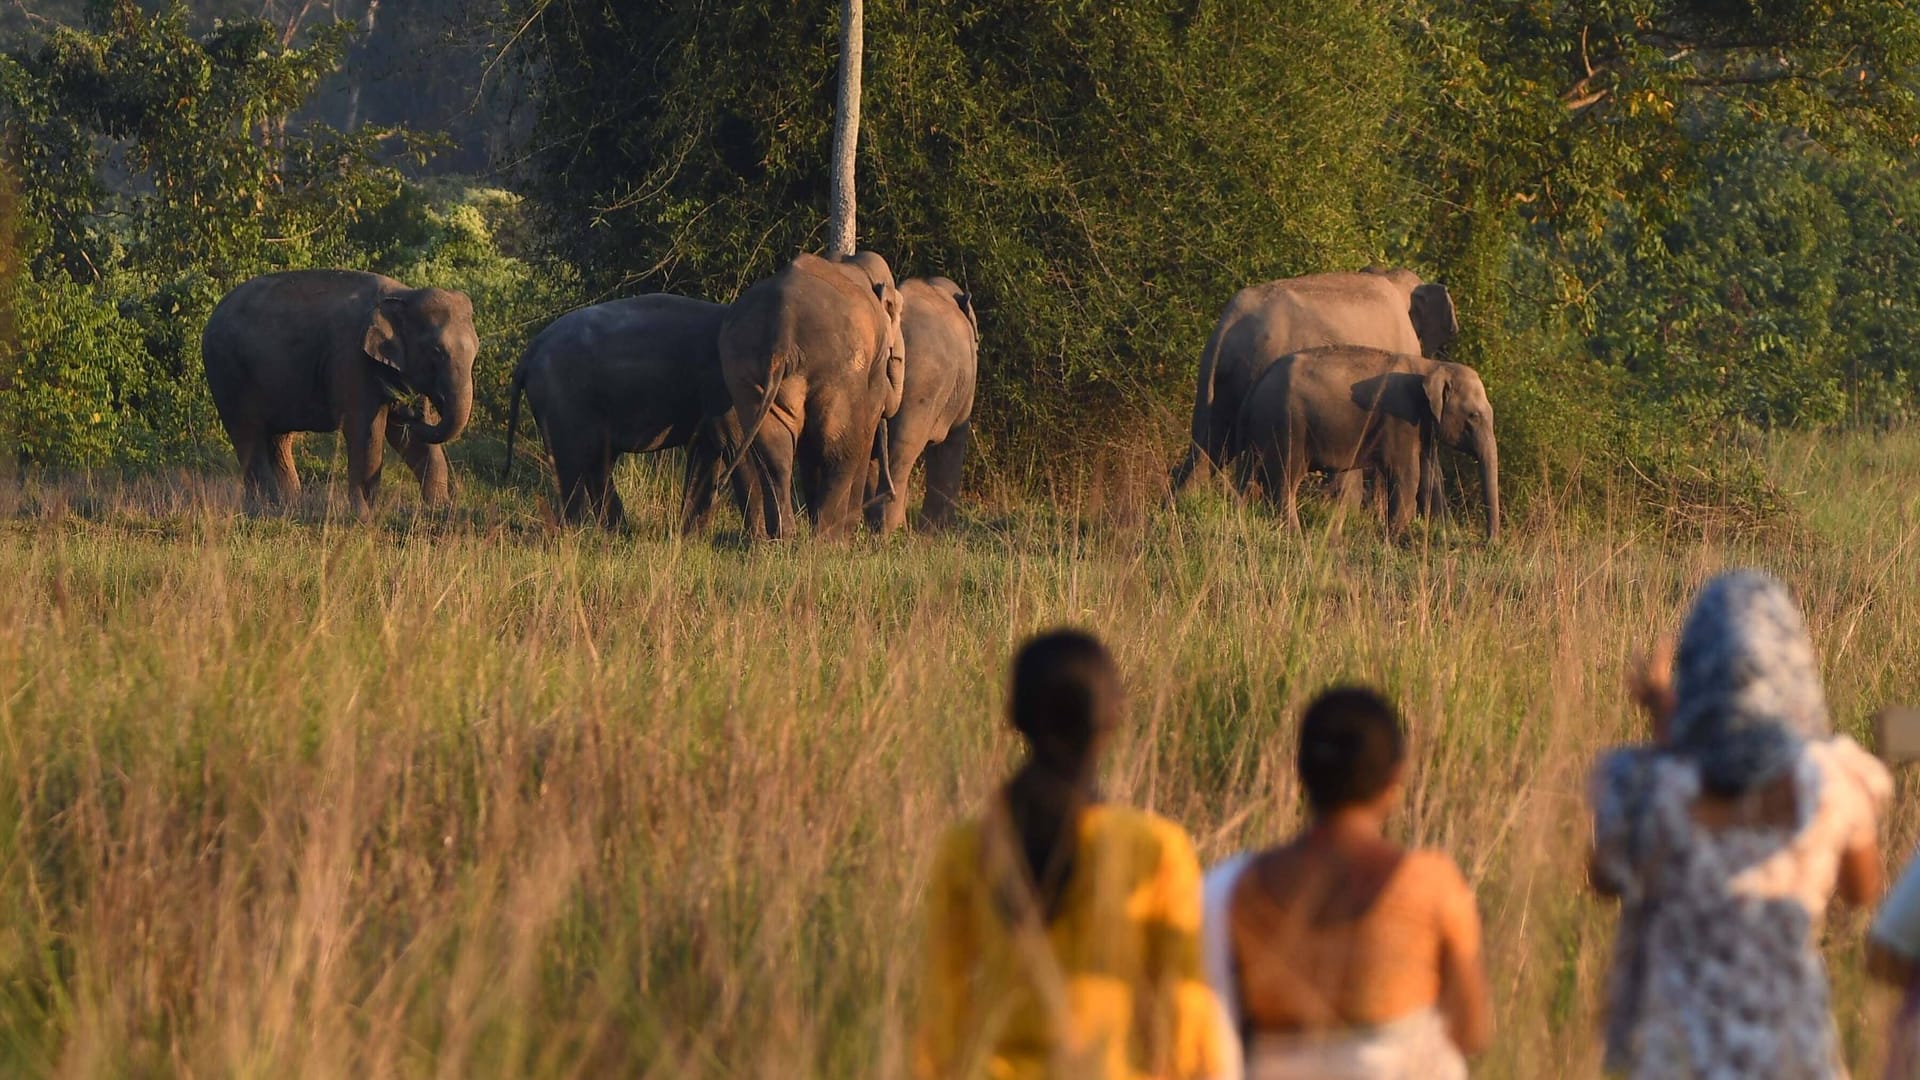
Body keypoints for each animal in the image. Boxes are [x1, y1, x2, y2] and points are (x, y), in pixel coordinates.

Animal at [200, 267, 478, 507]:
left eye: (476, 352)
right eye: (436, 351)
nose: (418, 408)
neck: (404, 295)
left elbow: (408, 438)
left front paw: (440, 508)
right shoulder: (351, 359)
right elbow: (366, 432)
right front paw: (366, 513)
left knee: (278, 439)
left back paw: (289, 504)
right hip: (227, 373)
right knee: (249, 434)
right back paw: (266, 505)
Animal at [503, 292, 756, 530]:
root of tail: (528, 353)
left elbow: (706, 451)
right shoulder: (723, 386)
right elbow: (740, 448)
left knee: (596, 463)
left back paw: (617, 534)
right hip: (561, 400)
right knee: (572, 463)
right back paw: (574, 535)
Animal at [1228, 343, 1497, 538]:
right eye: (1473, 416)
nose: (1488, 543)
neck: (1432, 366)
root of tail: (1257, 385)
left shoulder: (1422, 426)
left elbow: (1430, 477)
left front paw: (1441, 535)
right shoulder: (1400, 419)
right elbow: (1407, 475)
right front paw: (1397, 538)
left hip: (1262, 429)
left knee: (1249, 474)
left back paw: (1240, 518)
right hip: (1286, 424)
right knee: (1285, 481)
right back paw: (1295, 535)